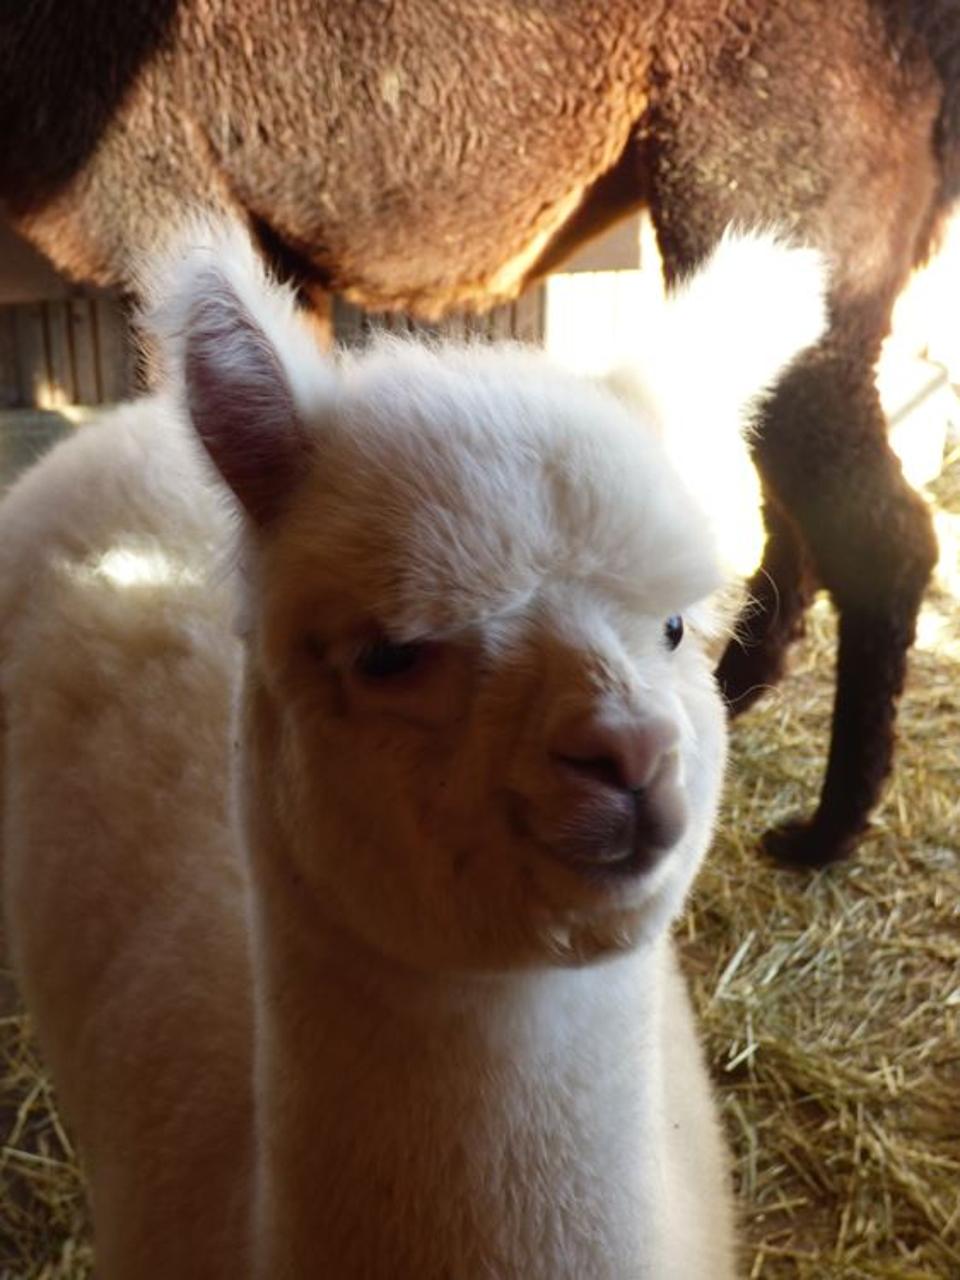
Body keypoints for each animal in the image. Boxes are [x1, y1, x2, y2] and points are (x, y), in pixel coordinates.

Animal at [1, 1, 951, 864]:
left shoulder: (158, 199)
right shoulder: (272, 261)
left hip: (782, 177)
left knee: (882, 530)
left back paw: (827, 830)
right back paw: (736, 690)